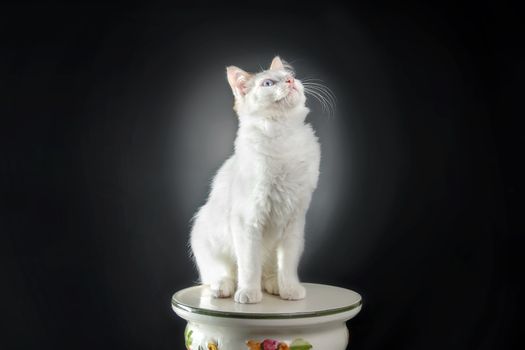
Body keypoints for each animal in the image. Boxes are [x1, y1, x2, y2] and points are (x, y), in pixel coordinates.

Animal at [188, 56, 320, 302]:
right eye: (268, 83)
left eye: (291, 76)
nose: (290, 81)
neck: (284, 134)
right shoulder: (247, 221)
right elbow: (249, 266)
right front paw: (249, 294)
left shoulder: (294, 220)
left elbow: (288, 265)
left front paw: (290, 291)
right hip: (204, 235)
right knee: (220, 273)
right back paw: (224, 288)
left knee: (268, 272)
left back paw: (274, 285)